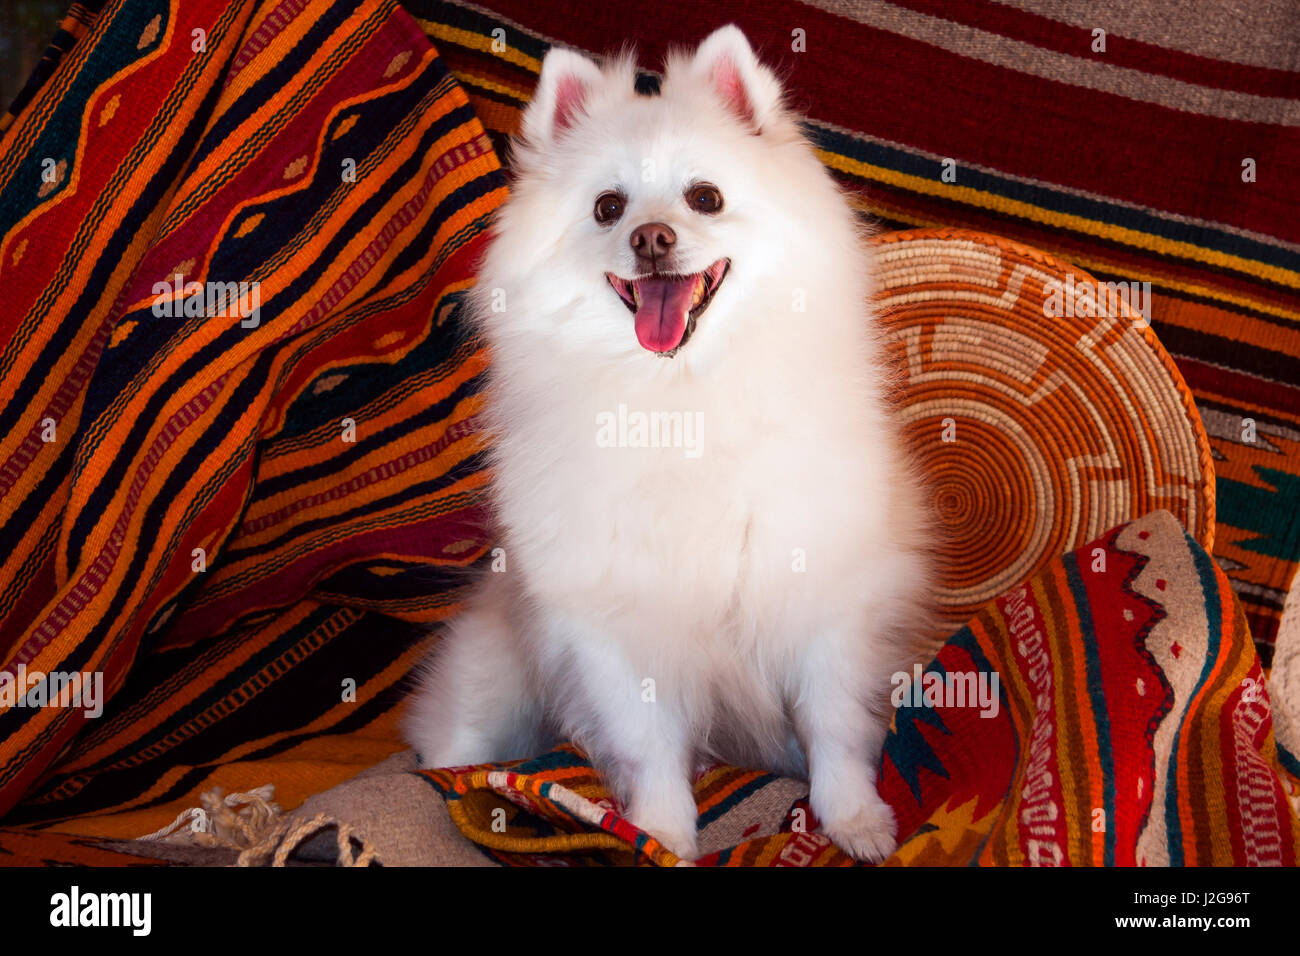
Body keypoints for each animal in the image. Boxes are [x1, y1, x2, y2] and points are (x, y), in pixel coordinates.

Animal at [405, 22, 935, 863]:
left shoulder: (825, 609)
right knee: (451, 746)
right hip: (492, 688)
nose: (651, 237)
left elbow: (836, 731)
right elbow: (649, 748)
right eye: (607, 207)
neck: (679, 400)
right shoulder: (615, 639)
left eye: (704, 198)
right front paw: (655, 834)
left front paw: (855, 821)